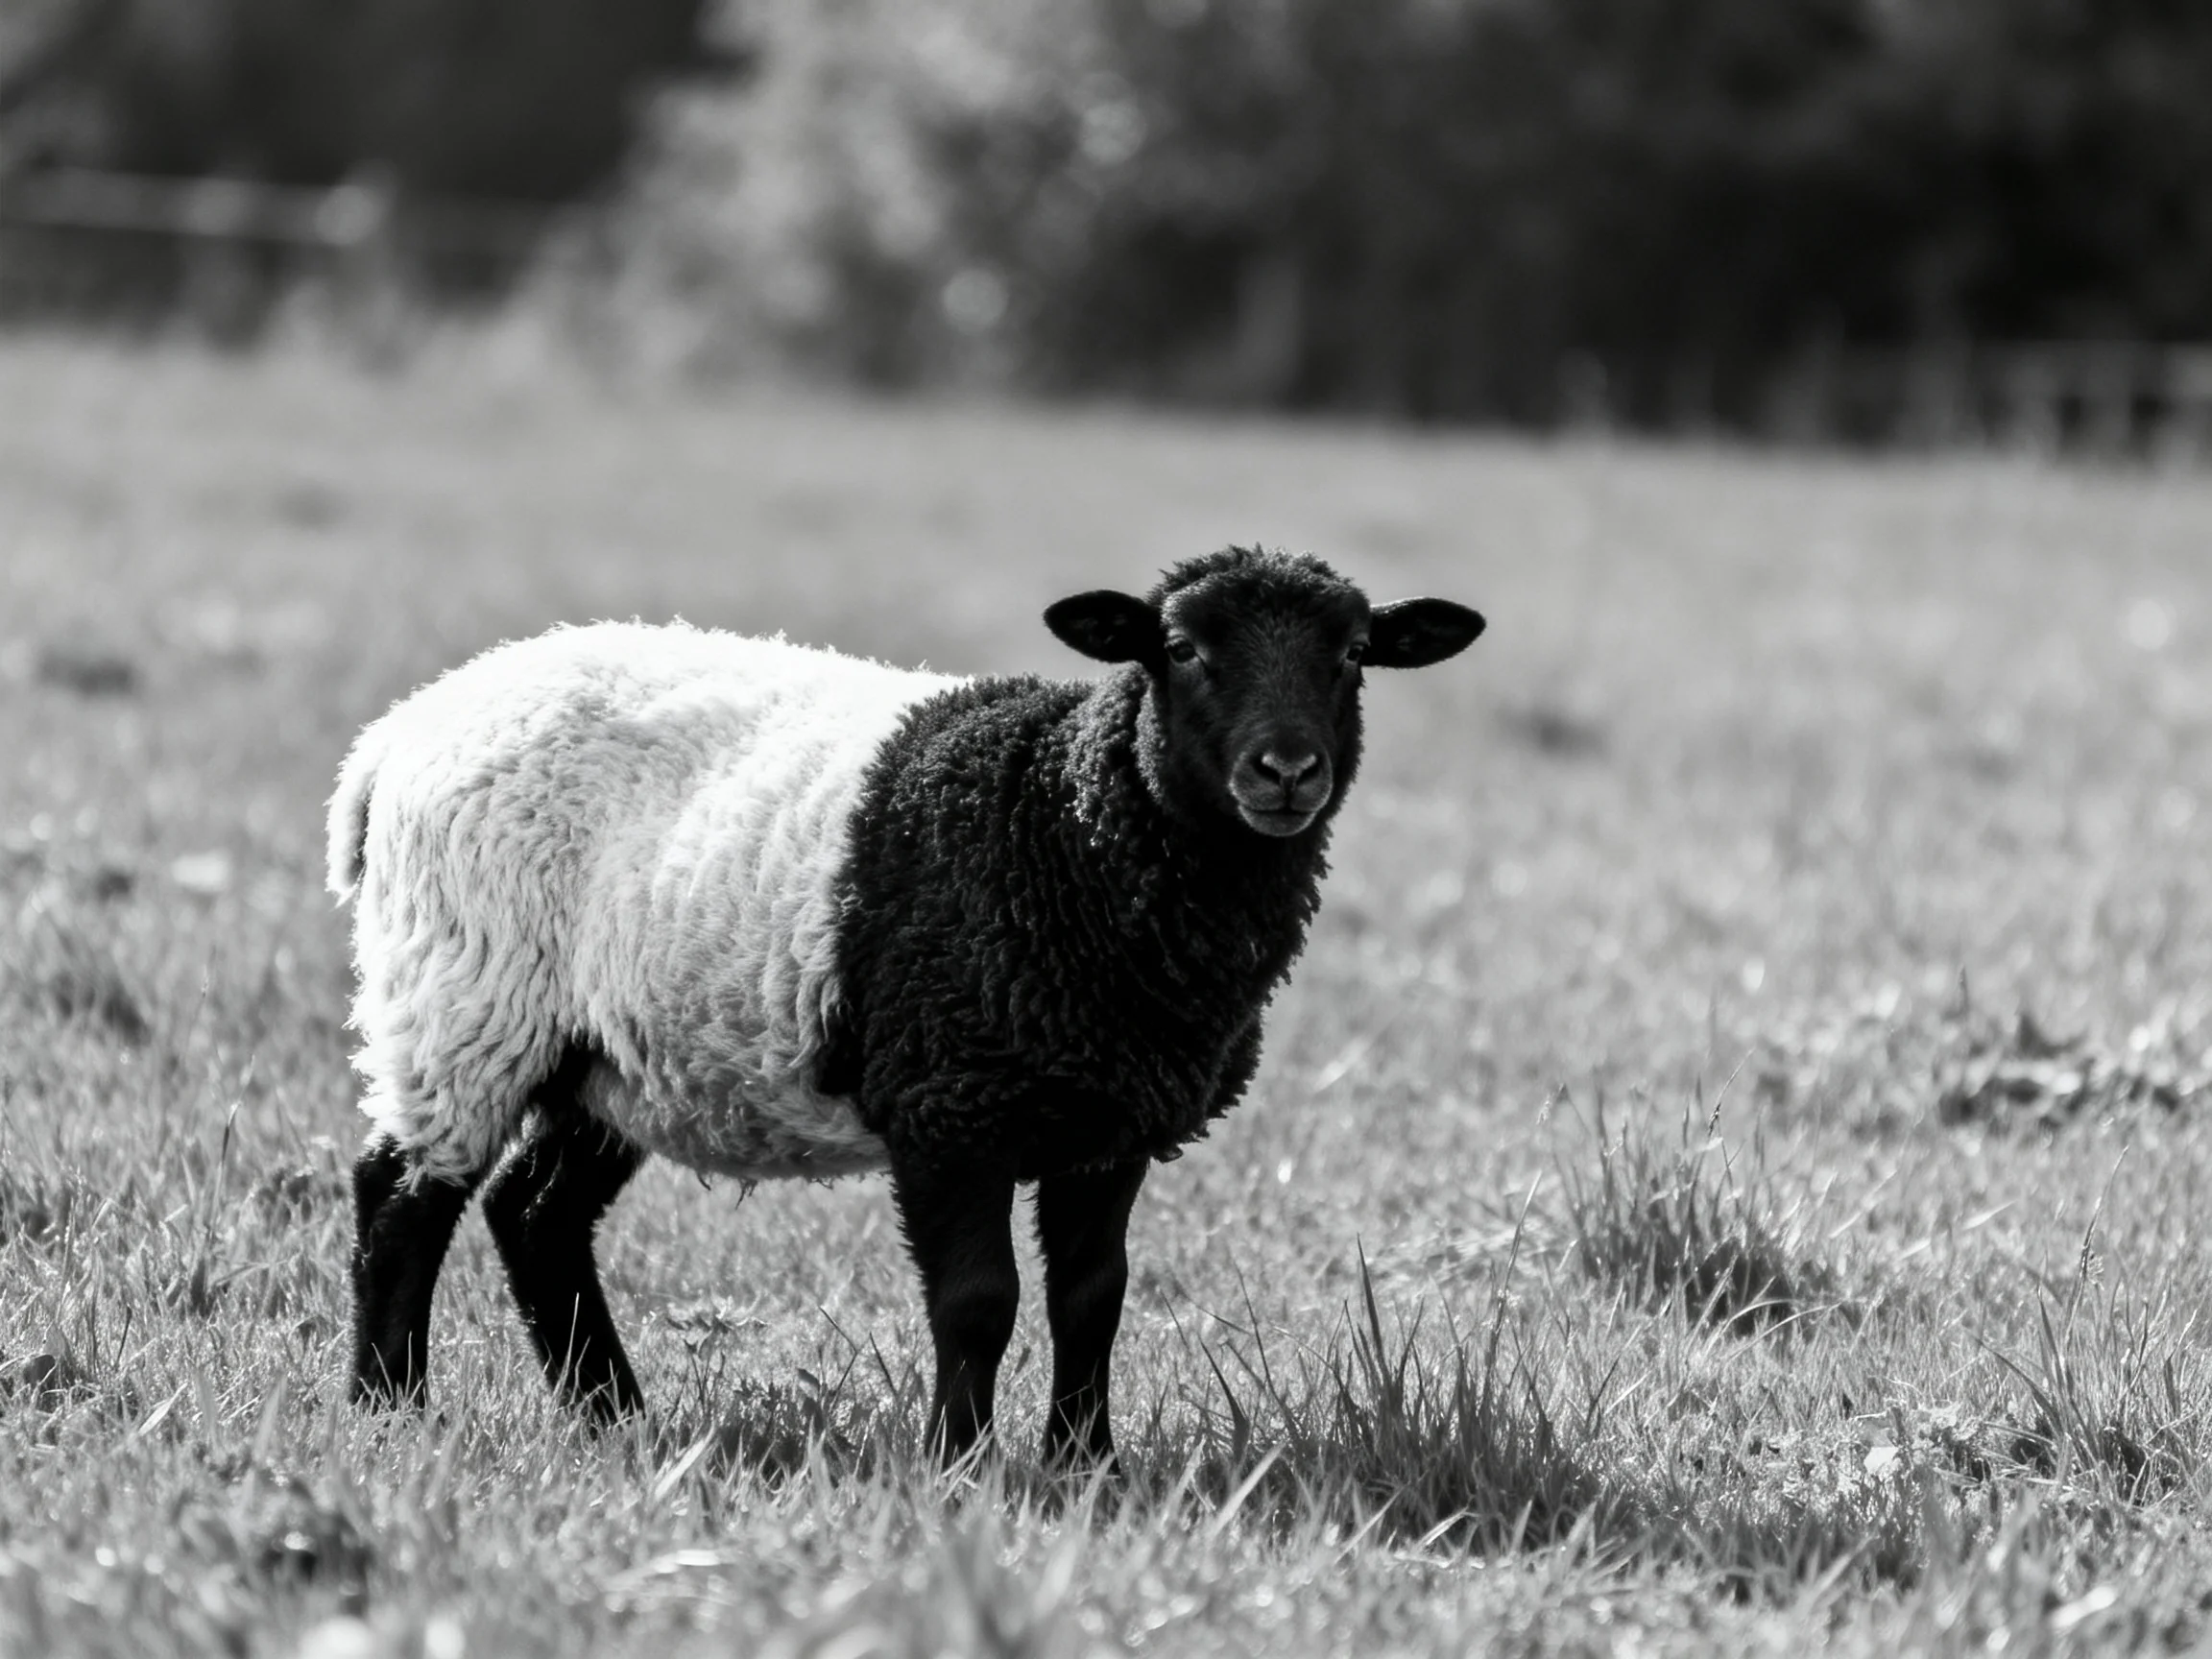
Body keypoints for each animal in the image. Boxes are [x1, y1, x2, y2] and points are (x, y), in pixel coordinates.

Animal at [331, 546, 1484, 1467]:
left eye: (1353, 654)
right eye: (1179, 649)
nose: (1286, 770)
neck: (1067, 826)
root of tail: (396, 734)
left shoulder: (1106, 1122)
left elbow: (1092, 1299)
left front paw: (1086, 1466)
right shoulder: (946, 1105)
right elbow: (979, 1303)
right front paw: (959, 1466)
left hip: (617, 1050)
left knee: (535, 1215)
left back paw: (615, 1416)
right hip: (463, 994)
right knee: (403, 1198)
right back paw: (391, 1413)